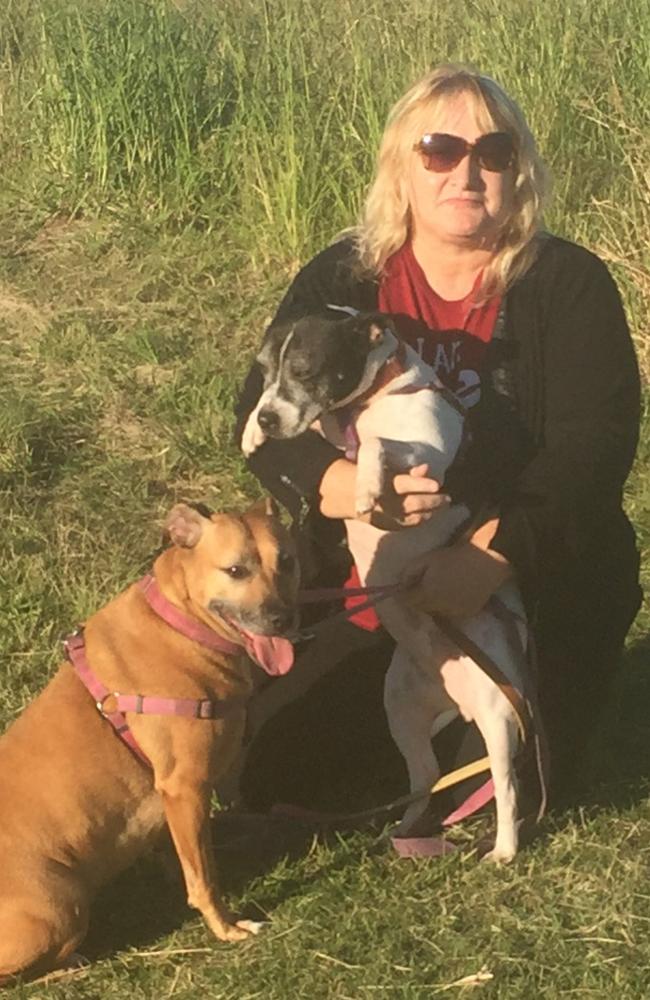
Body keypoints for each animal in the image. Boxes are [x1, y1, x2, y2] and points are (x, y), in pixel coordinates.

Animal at [0, 504, 298, 980]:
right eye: (236, 570)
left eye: (286, 561)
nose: (282, 620)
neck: (181, 623)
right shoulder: (186, 786)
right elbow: (204, 878)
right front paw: (227, 927)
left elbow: (184, 854)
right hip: (59, 910)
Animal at [243, 310, 536, 860]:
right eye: (264, 370)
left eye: (305, 370)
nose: (269, 417)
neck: (375, 398)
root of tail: (456, 700)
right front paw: (252, 428)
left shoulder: (428, 457)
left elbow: (377, 446)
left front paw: (364, 487)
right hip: (401, 709)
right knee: (426, 777)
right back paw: (405, 831)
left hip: (498, 720)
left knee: (506, 788)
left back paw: (504, 849)